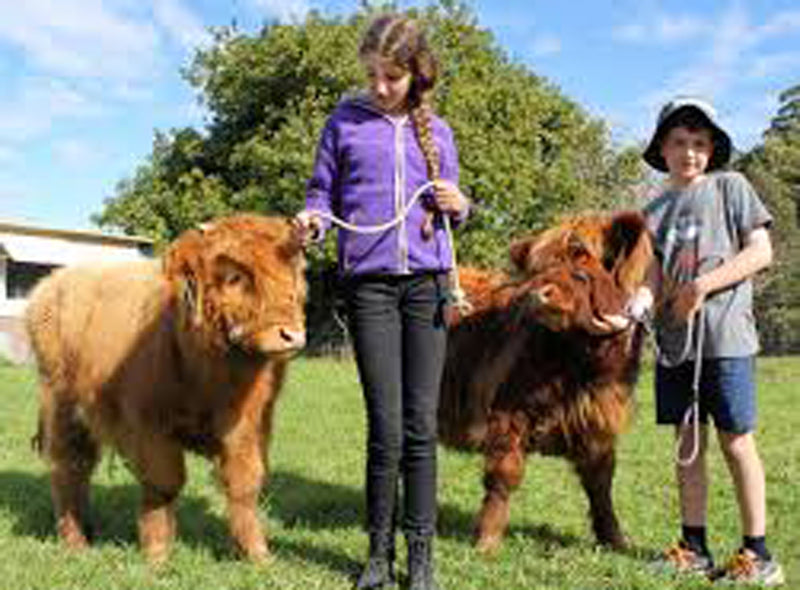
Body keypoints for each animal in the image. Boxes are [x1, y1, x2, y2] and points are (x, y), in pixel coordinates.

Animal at [440, 212, 652, 556]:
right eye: (537, 269)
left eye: (581, 262)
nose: (538, 294)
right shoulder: (507, 415)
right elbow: (504, 475)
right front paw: (487, 541)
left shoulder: (599, 423)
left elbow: (601, 484)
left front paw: (615, 539)